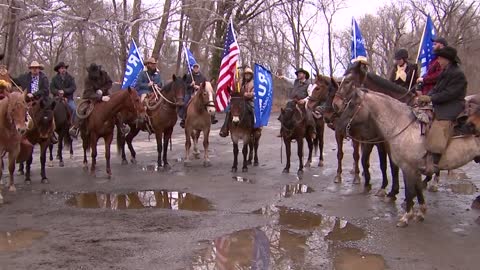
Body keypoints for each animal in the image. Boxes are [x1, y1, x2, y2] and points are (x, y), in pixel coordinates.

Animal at [334, 87, 480, 227]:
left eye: (352, 105)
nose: (338, 126)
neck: (402, 125)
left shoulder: (407, 168)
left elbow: (409, 191)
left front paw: (405, 217)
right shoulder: (415, 169)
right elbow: (418, 189)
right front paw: (421, 212)